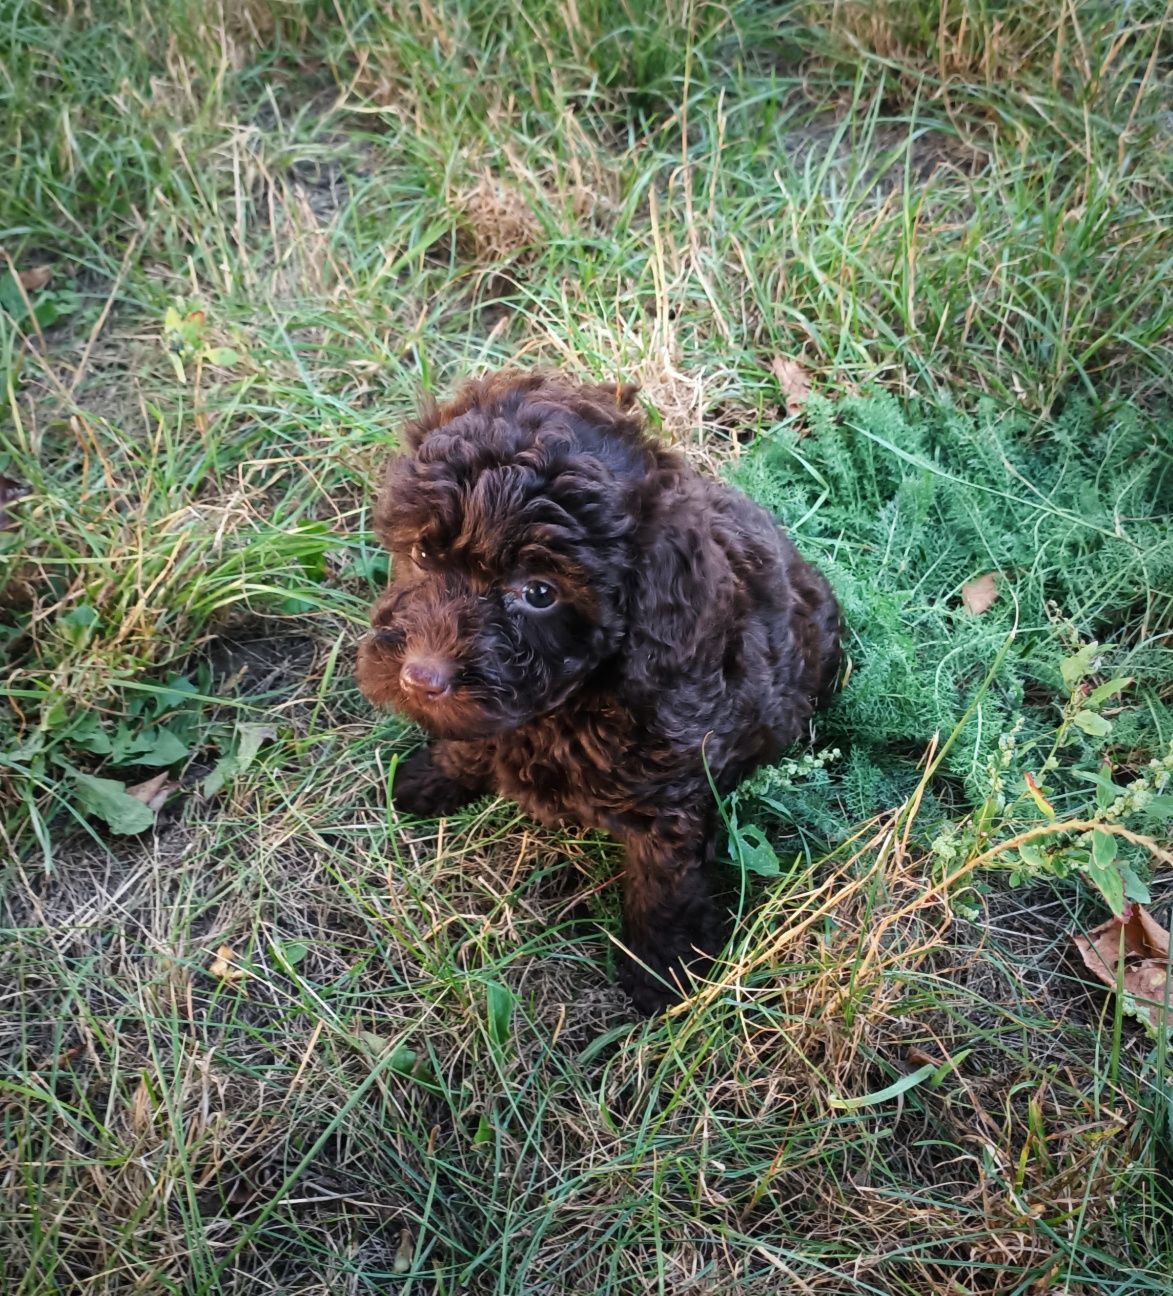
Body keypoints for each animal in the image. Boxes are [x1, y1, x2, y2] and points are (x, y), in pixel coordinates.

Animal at [352, 368, 839, 1010]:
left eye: (540, 593)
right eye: (422, 551)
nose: (419, 678)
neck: (570, 704)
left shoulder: (672, 797)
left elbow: (664, 888)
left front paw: (663, 972)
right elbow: (470, 740)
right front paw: (431, 778)